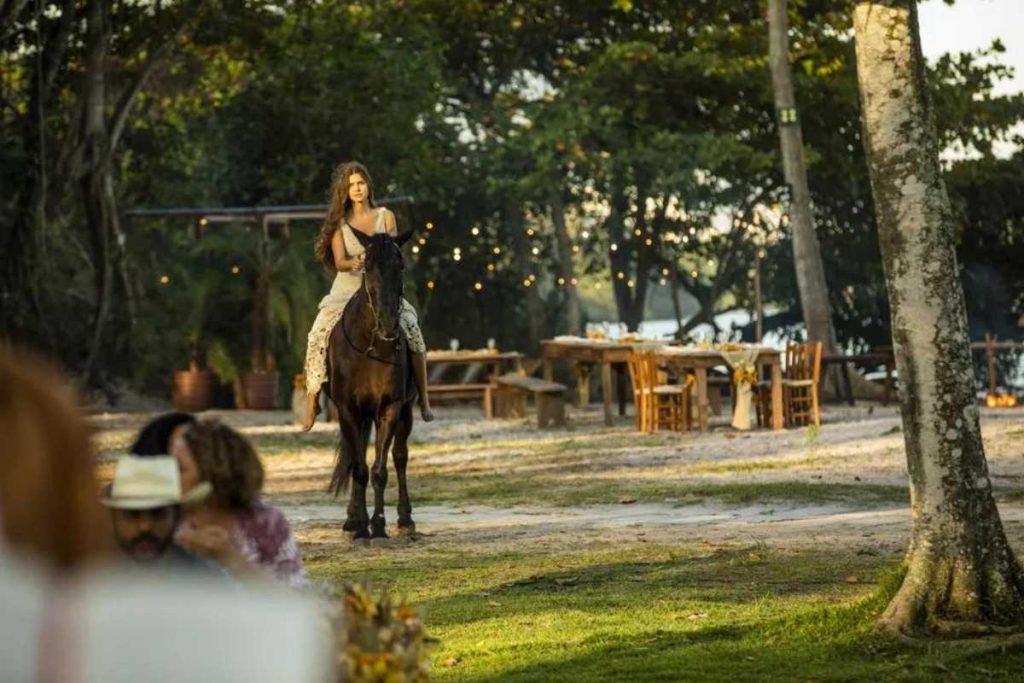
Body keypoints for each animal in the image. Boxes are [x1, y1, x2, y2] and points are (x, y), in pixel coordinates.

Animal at [325, 228, 417, 540]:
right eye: (367, 266)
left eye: (400, 265)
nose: (389, 324)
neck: (370, 343)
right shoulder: (347, 410)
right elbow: (359, 468)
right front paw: (361, 525)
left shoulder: (390, 407)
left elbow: (379, 469)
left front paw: (377, 524)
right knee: (357, 460)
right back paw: (352, 520)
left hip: (406, 410)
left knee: (400, 457)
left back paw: (405, 519)